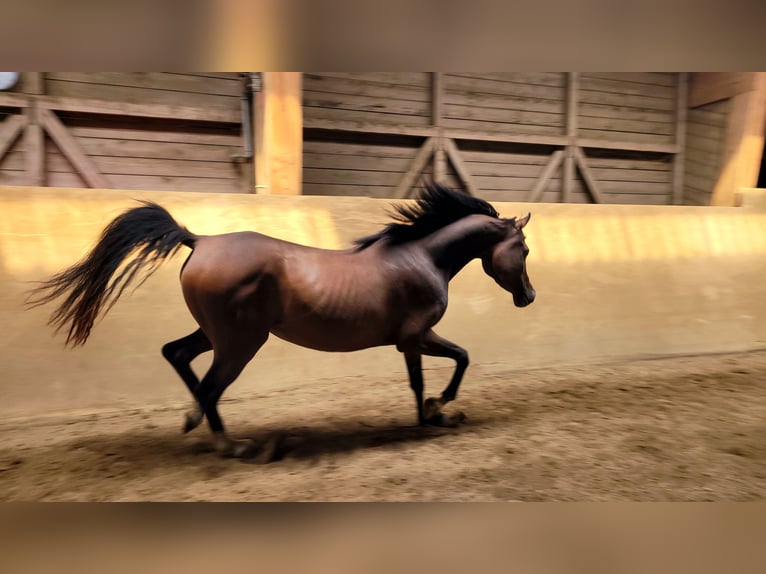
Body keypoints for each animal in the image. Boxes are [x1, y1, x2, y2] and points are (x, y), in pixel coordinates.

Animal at [27, 183, 535, 458]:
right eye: (525, 250)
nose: (528, 297)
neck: (423, 257)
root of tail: (200, 240)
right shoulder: (419, 334)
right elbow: (460, 358)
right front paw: (440, 409)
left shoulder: (407, 341)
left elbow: (417, 380)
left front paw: (429, 415)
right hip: (240, 342)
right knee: (211, 385)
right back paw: (231, 445)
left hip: (217, 335)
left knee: (178, 354)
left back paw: (193, 420)